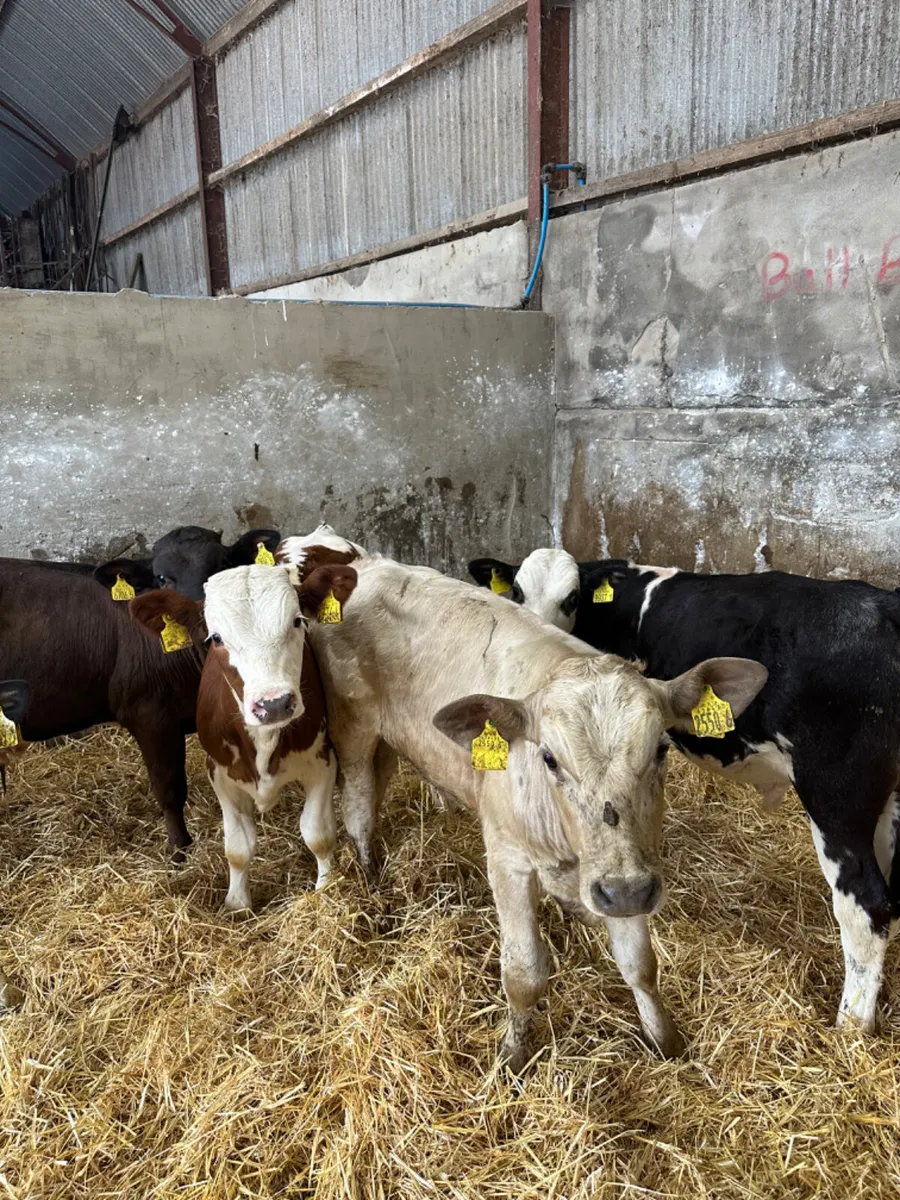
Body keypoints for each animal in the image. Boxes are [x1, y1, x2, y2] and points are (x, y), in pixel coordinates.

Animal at [129, 562, 357, 910]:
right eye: (216, 638)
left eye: (297, 621)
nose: (273, 704)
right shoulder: (221, 774)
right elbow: (237, 848)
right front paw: (236, 903)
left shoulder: (322, 760)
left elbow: (317, 834)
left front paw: (325, 887)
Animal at [301, 550, 766, 1068]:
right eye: (548, 758)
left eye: (662, 749)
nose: (625, 893)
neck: (565, 847)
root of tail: (365, 563)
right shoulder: (509, 860)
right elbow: (523, 974)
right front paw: (512, 1055)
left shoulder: (623, 867)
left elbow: (640, 965)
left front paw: (666, 1042)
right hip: (353, 729)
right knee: (359, 810)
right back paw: (373, 888)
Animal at [476, 549, 900, 1035]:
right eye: (518, 591)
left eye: (572, 598)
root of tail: (885, 605)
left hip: (836, 797)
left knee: (866, 908)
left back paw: (850, 1028)